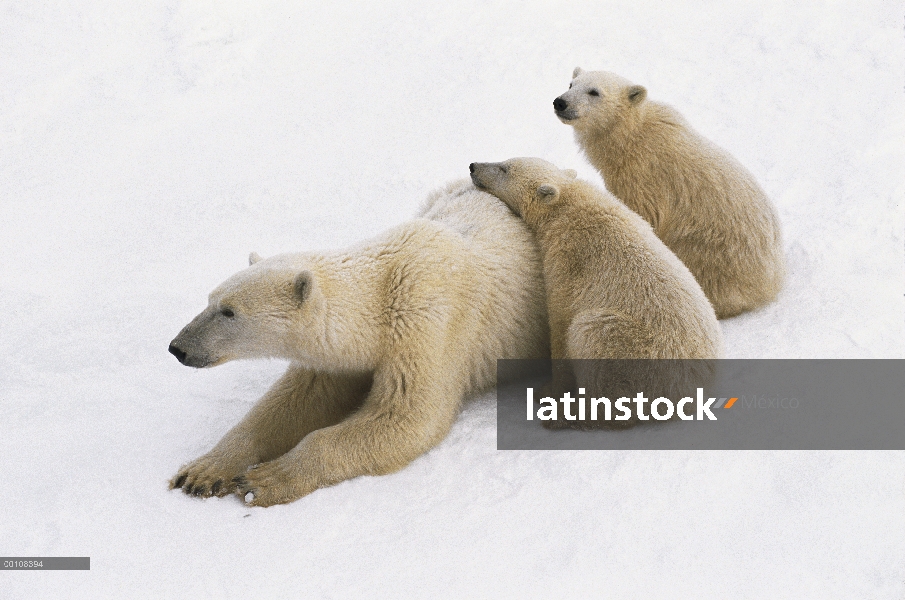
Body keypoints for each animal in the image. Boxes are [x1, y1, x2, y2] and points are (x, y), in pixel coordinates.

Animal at [170, 179, 552, 506]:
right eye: (209, 300)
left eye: (229, 311)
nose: (178, 347)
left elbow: (407, 416)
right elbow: (293, 402)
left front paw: (263, 480)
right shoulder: (338, 355)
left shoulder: (429, 323)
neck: (382, 288)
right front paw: (203, 472)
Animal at [470, 156, 724, 422]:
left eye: (504, 168)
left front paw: (548, 391)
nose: (473, 166)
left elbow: (561, 321)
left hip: (640, 351)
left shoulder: (569, 260)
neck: (569, 205)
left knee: (593, 338)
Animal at [556, 67, 780, 318]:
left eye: (594, 92)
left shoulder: (642, 178)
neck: (631, 135)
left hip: (711, 251)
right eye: (571, 84)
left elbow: (643, 216)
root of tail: (771, 282)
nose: (561, 102)